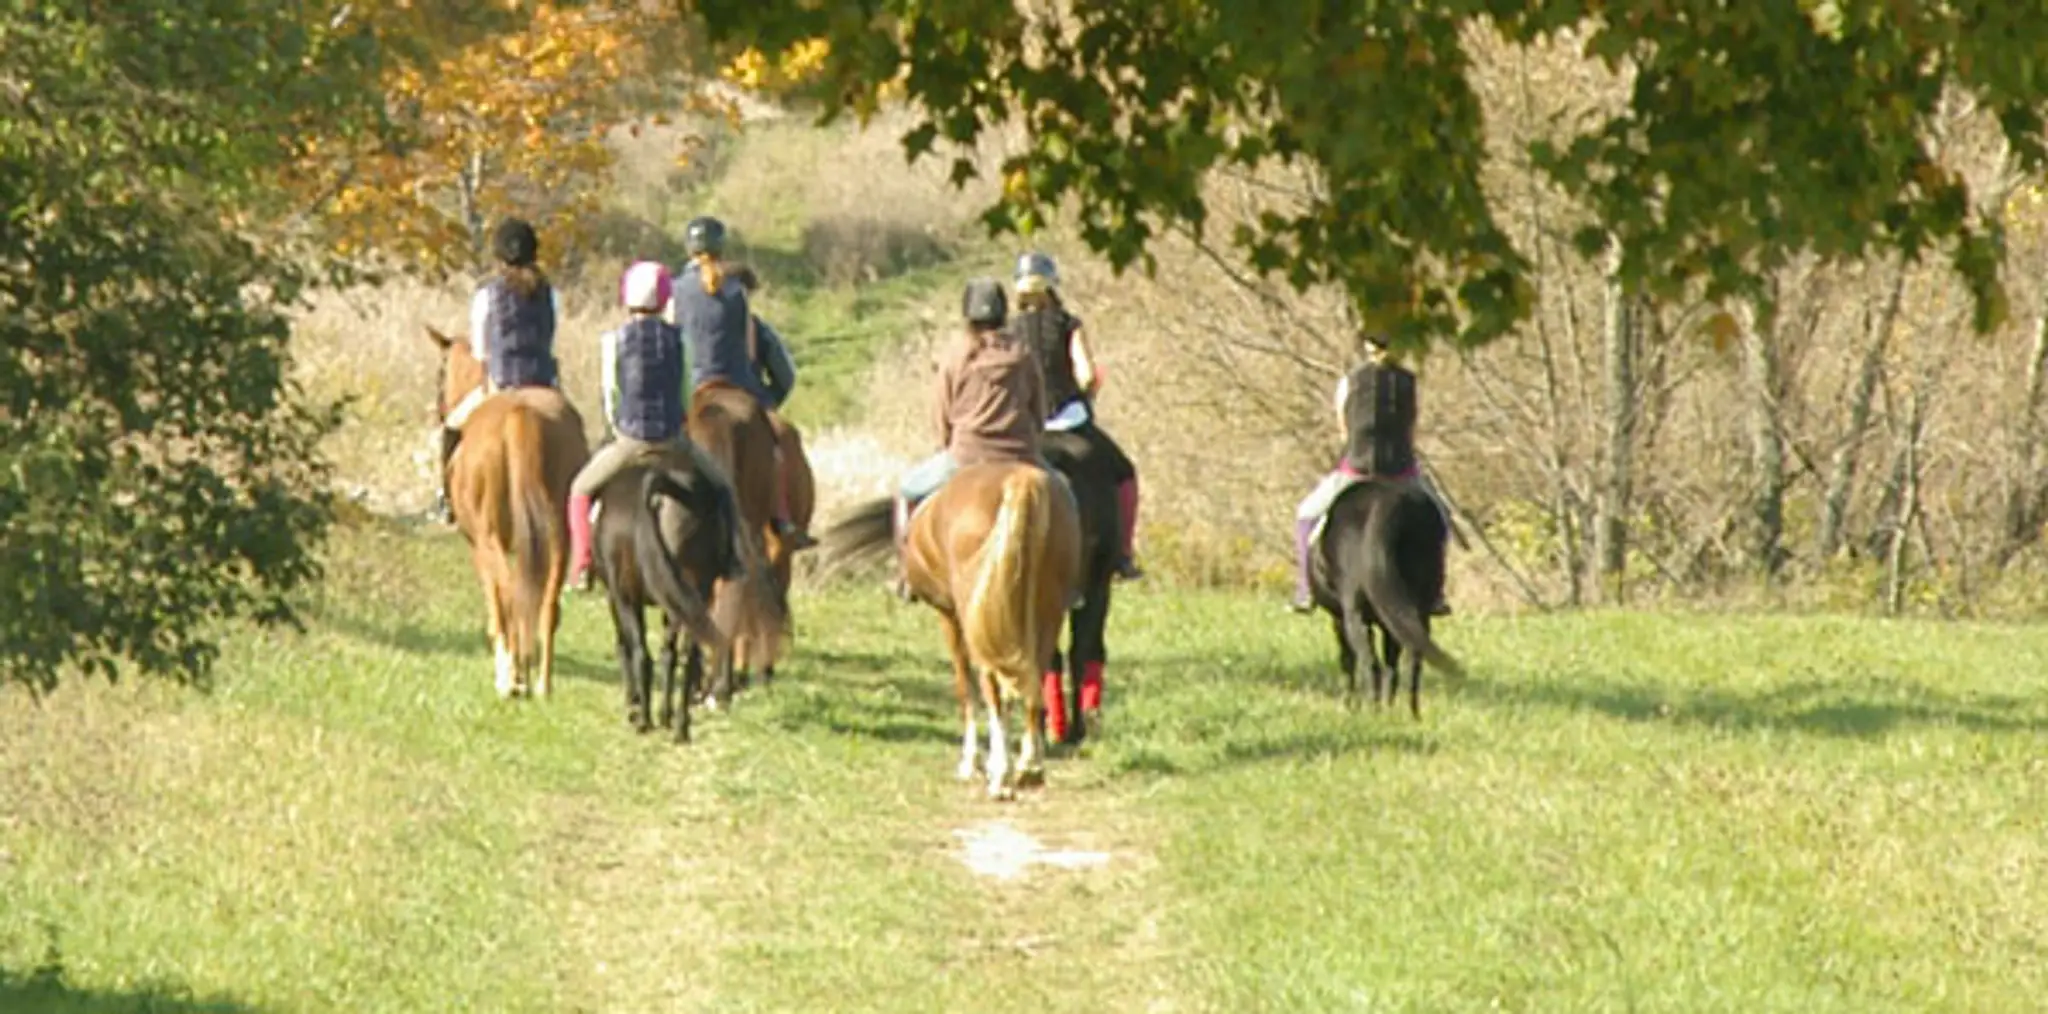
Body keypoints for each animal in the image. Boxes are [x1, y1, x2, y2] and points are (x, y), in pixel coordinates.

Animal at [426, 326, 591, 699]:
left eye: (440, 373)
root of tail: (520, 414)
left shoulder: (478, 547)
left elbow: (496, 604)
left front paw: (508, 671)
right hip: (560, 537)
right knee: (547, 604)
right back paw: (542, 684)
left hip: (490, 540)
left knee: (509, 593)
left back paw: (512, 680)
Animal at [591, 455, 785, 742]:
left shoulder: (619, 596)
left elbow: (626, 647)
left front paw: (634, 705)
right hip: (692, 595)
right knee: (682, 656)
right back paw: (679, 724)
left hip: (631, 596)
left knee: (643, 654)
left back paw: (645, 720)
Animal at [820, 462, 1082, 799]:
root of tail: (1018, 480)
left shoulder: (950, 615)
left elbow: (964, 684)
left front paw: (972, 762)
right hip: (1047, 610)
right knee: (1030, 677)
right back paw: (1030, 767)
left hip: (978, 615)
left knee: (990, 684)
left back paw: (1001, 775)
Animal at [1308, 478, 1465, 717]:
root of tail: (1388, 505)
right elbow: (1392, 663)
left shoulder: (1340, 618)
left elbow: (1348, 659)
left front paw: (1350, 704)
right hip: (1417, 611)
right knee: (1411, 661)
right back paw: (1411, 714)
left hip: (1356, 615)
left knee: (1370, 663)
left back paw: (1373, 712)